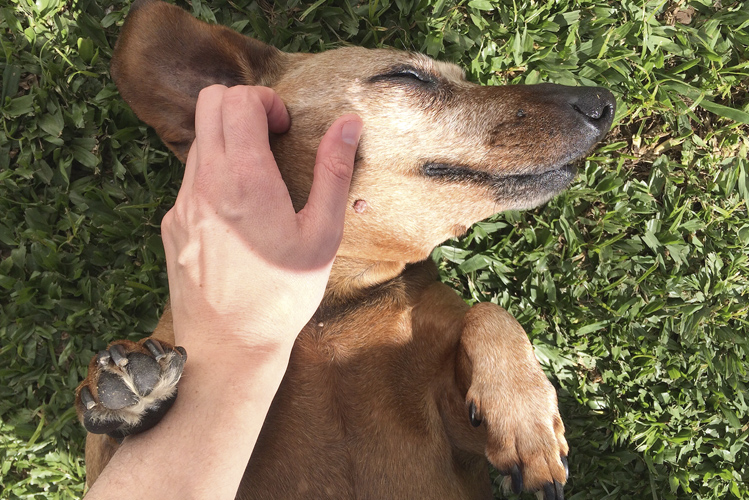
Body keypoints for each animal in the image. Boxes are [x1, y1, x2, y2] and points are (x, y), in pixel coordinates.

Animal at [74, 1, 612, 498]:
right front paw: (127, 390)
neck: (328, 313)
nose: (603, 100)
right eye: (407, 74)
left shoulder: (460, 435)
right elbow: (104, 438)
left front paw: (526, 418)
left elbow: (490, 313)